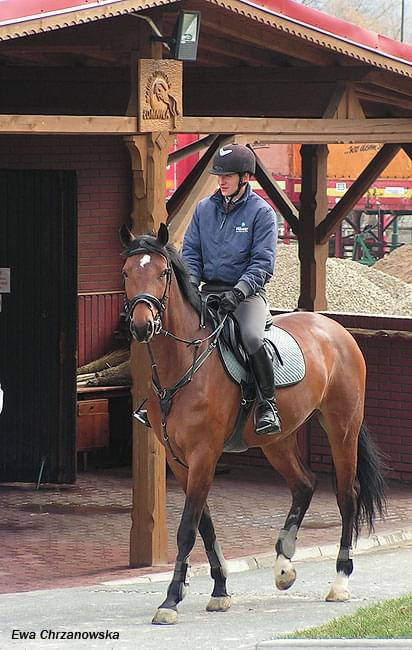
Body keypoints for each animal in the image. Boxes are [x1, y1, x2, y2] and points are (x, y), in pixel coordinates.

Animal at [120, 221, 386, 624]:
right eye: (126, 272)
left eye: (163, 273)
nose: (141, 324)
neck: (183, 364)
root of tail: (334, 328)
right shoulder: (179, 460)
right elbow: (205, 525)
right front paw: (219, 591)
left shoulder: (204, 455)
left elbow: (187, 529)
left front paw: (170, 601)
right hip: (278, 440)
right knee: (304, 484)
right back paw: (283, 565)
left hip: (342, 428)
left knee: (346, 496)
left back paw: (339, 582)